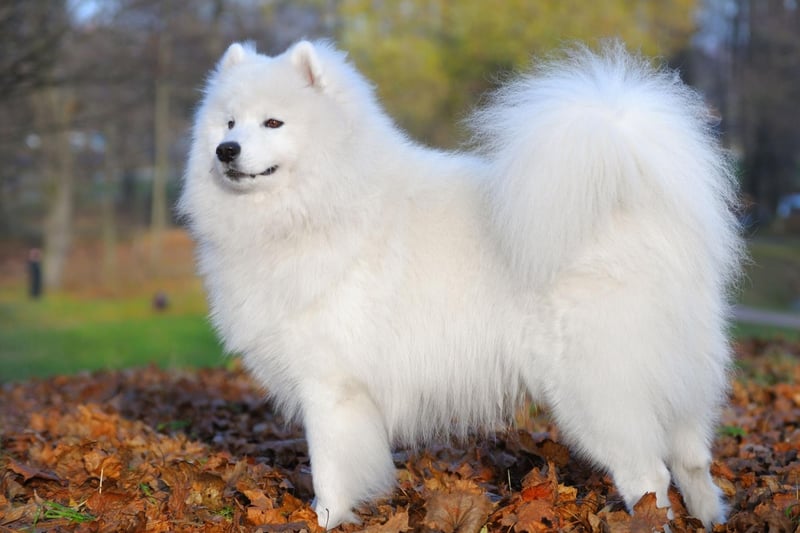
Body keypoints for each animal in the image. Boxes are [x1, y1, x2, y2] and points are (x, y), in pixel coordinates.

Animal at [178, 39, 740, 524]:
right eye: (229, 121)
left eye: (273, 122)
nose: (226, 149)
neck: (326, 202)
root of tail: (637, 212)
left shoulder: (330, 385)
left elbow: (329, 471)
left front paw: (326, 519)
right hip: (676, 381)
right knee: (693, 462)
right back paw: (710, 518)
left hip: (597, 391)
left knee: (649, 476)